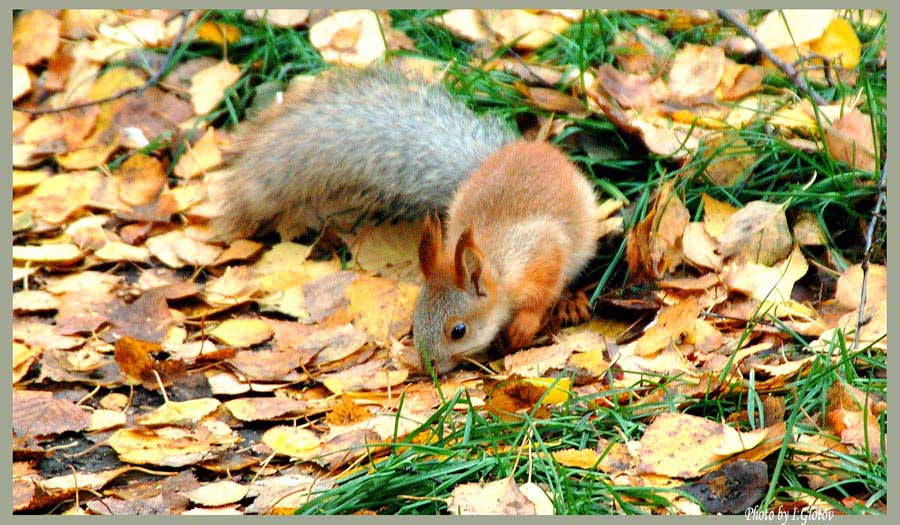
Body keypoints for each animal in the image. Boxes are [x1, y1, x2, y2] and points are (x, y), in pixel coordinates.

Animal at [211, 66, 602, 374]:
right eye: (415, 324)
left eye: (458, 331)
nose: (431, 368)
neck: (495, 263)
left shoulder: (540, 252)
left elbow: (541, 292)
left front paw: (523, 327)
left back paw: (569, 301)